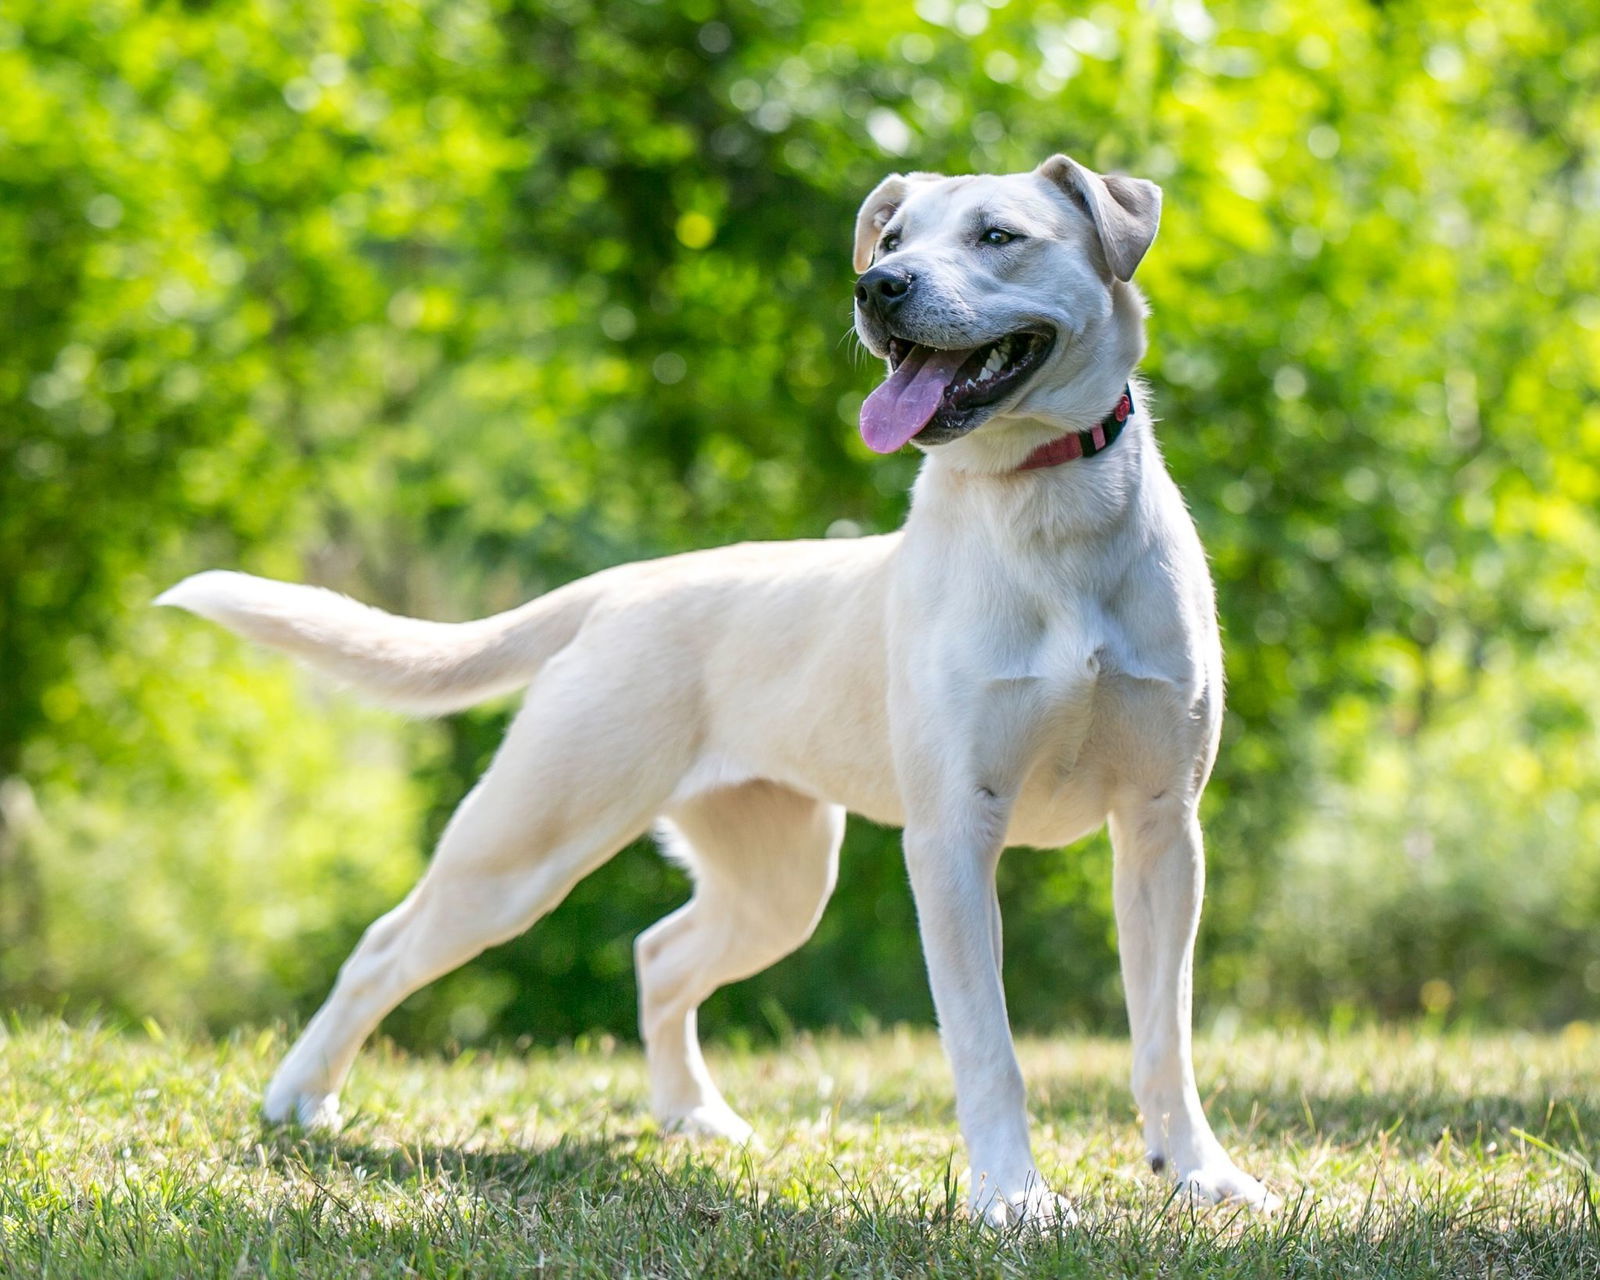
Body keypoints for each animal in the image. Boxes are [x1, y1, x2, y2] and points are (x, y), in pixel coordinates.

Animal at [159, 155, 1273, 1222]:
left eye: (997, 236)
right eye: (893, 239)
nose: (877, 287)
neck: (1044, 507)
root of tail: (623, 585)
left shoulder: (1161, 827)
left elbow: (1163, 1035)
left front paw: (1202, 1176)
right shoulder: (955, 833)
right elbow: (986, 1047)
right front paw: (1016, 1199)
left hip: (778, 881)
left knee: (660, 954)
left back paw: (692, 1115)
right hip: (524, 843)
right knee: (384, 947)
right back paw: (300, 1099)